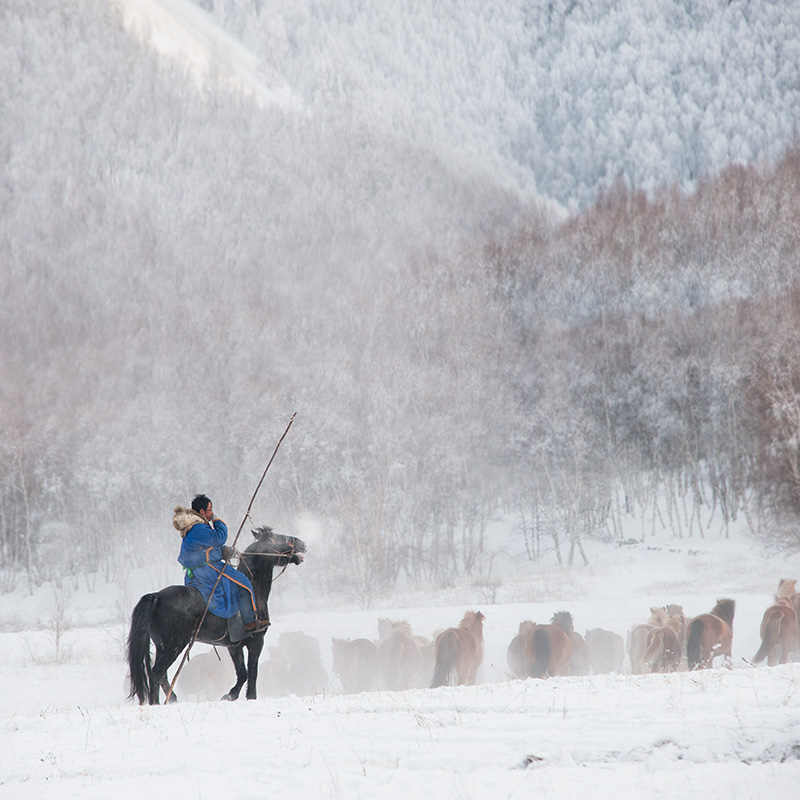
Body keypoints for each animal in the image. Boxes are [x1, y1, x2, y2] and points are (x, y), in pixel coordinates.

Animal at [126, 528, 304, 704]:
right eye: (279, 538)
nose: (302, 543)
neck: (254, 589)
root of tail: (157, 596)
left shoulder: (234, 646)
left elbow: (243, 673)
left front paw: (230, 695)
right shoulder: (256, 642)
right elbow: (252, 674)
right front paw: (249, 697)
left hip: (162, 646)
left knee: (160, 675)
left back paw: (168, 700)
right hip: (174, 645)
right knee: (157, 673)